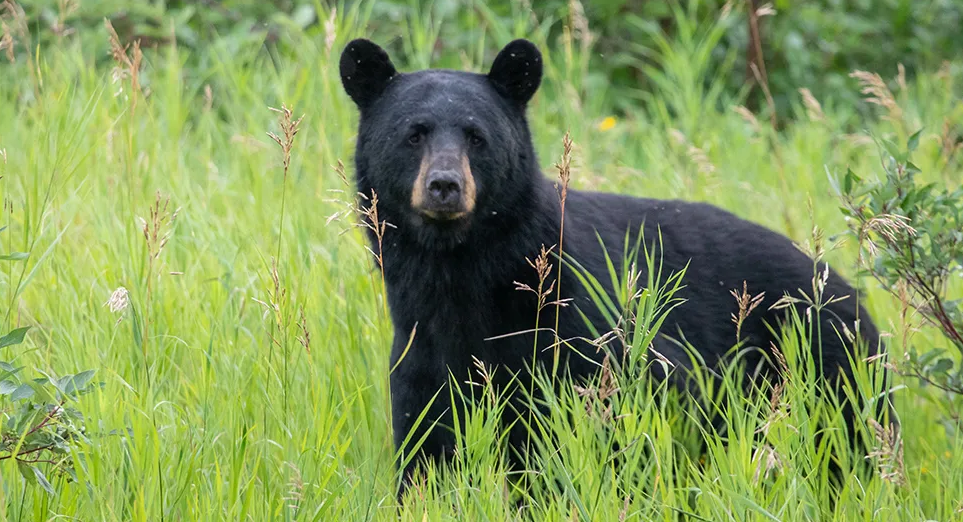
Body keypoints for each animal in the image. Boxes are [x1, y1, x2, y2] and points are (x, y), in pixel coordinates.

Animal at [339, 38, 887, 496]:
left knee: (847, 446)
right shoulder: (422, 351)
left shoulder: (582, 327)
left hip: (823, 364)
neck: (463, 272)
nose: (445, 186)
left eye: (476, 136)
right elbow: (425, 446)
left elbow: (643, 408)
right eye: (414, 135)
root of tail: (843, 286)